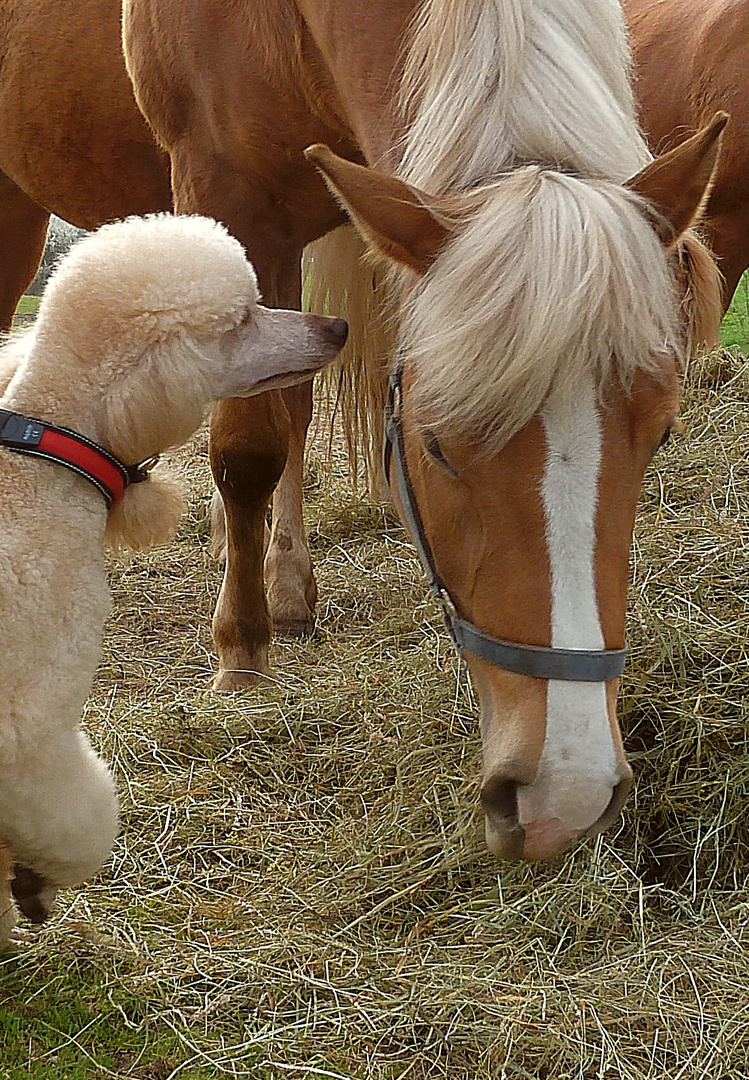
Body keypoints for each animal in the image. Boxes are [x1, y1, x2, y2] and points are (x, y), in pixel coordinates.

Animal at [0, 0, 729, 859]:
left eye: (662, 433)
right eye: (434, 443)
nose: (566, 795)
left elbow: (284, 411)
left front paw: (276, 592)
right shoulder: (230, 194)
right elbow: (247, 447)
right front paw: (241, 653)